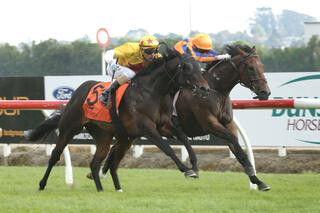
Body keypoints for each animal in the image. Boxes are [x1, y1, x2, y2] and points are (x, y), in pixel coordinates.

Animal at [27, 50, 210, 192]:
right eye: (187, 68)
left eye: (199, 68)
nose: (205, 89)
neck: (152, 92)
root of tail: (78, 92)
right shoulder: (148, 128)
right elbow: (167, 148)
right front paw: (186, 169)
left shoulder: (164, 126)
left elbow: (184, 137)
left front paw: (194, 165)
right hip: (70, 128)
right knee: (55, 155)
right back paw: (41, 184)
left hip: (111, 137)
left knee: (98, 163)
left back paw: (106, 189)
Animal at [174, 44, 272, 191]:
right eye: (250, 68)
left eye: (262, 66)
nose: (265, 92)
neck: (216, 91)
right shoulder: (210, 124)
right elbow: (236, 145)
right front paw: (251, 171)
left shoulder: (228, 124)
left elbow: (236, 148)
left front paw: (258, 181)